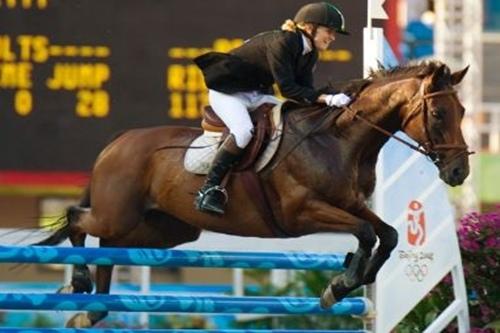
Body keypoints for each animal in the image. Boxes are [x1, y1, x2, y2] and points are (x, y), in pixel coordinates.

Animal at [37, 60, 470, 326]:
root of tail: (118, 141)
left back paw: (92, 310)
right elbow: (365, 233)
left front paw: (355, 276)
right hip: (120, 213)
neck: (340, 140)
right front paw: (341, 284)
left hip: (165, 229)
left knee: (109, 246)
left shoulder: (350, 204)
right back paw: (80, 285)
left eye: (463, 112)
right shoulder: (302, 211)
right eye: (437, 114)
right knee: (78, 220)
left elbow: (389, 234)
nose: (459, 171)